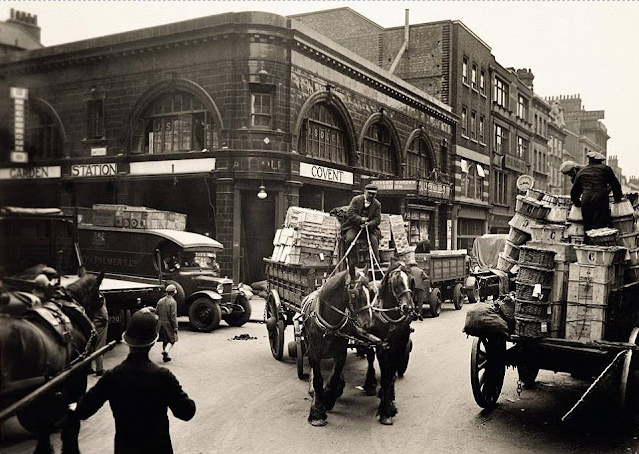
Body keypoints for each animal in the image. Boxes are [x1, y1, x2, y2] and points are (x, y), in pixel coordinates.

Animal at [0, 272, 102, 454]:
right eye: (99, 294)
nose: (102, 319)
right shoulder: (77, 376)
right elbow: (71, 420)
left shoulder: (43, 392)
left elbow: (42, 425)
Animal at [304, 266, 382, 426]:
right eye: (354, 293)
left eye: (372, 293)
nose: (370, 325)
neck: (329, 326)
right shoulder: (314, 354)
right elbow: (318, 379)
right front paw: (317, 412)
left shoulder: (340, 354)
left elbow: (334, 378)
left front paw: (329, 398)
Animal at [362, 262, 418, 426]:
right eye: (396, 282)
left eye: (411, 280)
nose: (408, 308)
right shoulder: (382, 347)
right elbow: (385, 373)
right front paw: (386, 411)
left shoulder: (399, 345)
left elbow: (391, 371)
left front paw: (389, 400)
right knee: (370, 358)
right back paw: (371, 384)